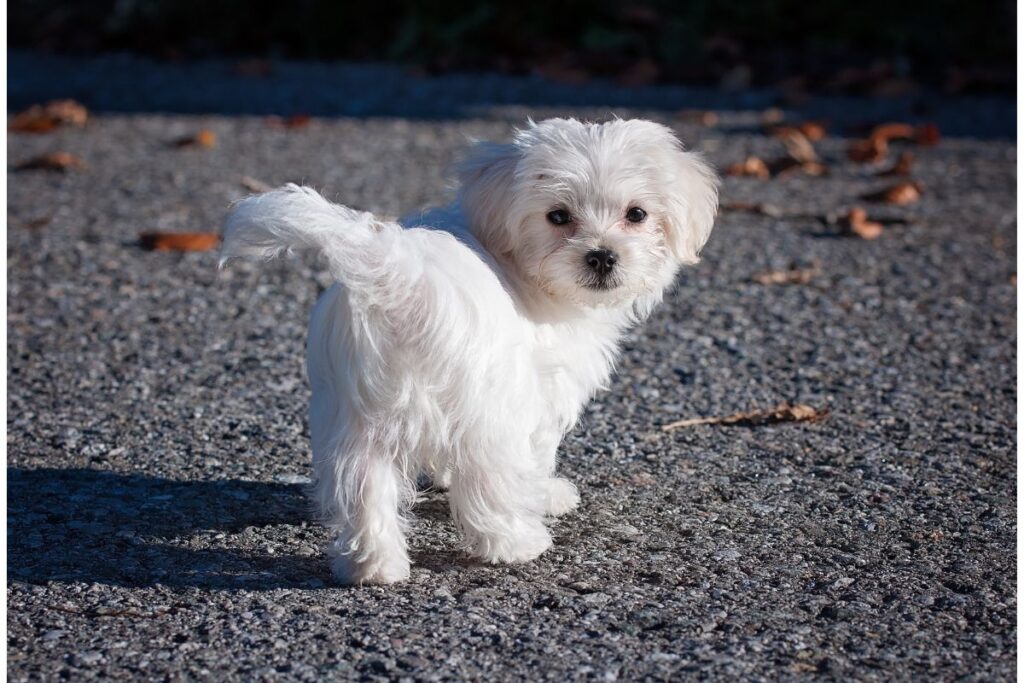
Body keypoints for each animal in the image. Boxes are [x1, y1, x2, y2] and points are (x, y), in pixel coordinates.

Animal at [222, 116, 720, 581]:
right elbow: (537, 454)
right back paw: (517, 543)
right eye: (558, 216)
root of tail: (400, 278)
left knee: (363, 487)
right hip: (488, 408)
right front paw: (547, 494)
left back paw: (373, 567)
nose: (602, 256)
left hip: (356, 416)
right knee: (488, 482)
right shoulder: (540, 391)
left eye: (637, 214)